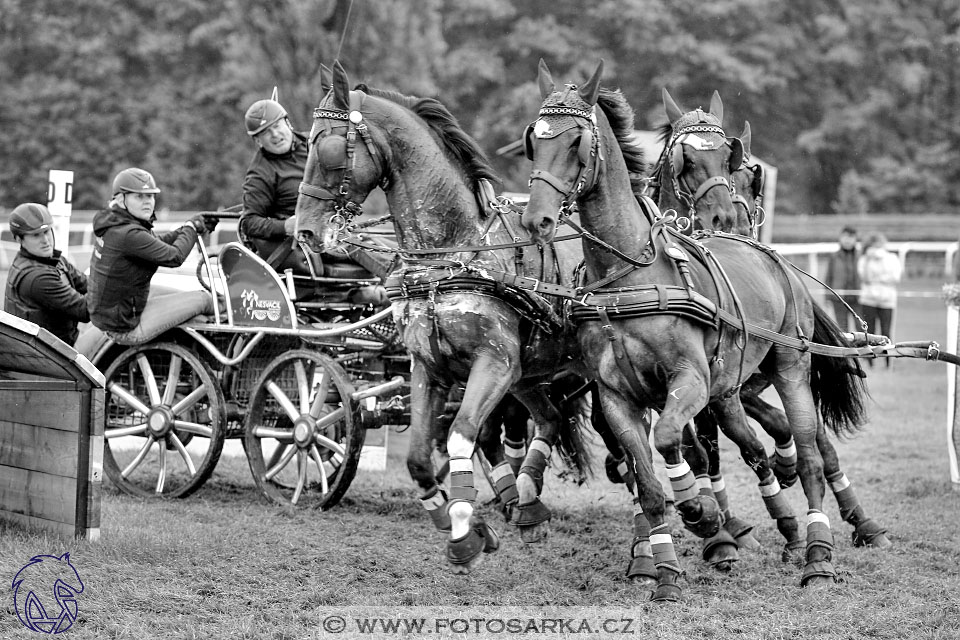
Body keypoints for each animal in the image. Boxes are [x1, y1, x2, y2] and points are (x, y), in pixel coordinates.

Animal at [294, 60, 600, 576]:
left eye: (328, 146)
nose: (304, 232)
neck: (454, 251)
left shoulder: (494, 363)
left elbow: (460, 436)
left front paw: (464, 530)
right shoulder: (430, 366)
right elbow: (420, 457)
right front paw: (464, 524)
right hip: (530, 374)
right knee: (551, 419)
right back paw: (527, 505)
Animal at [520, 60, 868, 600]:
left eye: (577, 141)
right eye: (532, 142)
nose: (535, 219)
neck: (628, 273)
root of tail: (768, 254)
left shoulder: (694, 381)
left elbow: (678, 443)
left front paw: (704, 517)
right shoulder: (618, 396)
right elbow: (649, 480)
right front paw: (663, 568)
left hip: (790, 363)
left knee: (813, 450)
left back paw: (817, 552)